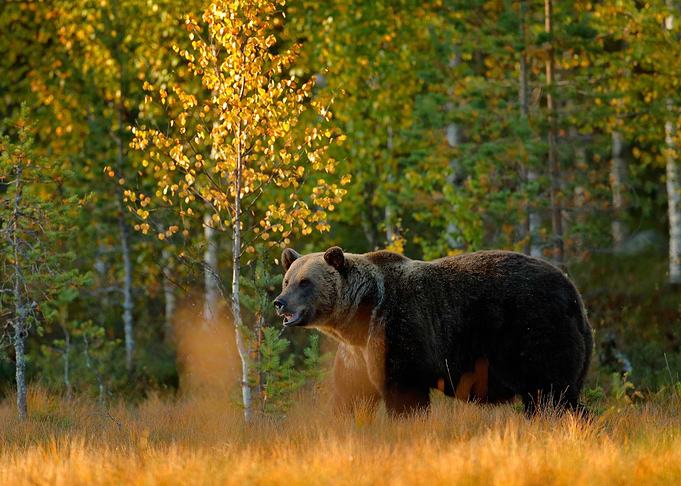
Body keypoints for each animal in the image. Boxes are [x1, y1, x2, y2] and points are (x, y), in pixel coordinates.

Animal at [273, 247, 593, 416]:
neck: (361, 317)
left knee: (550, 392)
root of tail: (574, 294)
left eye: (305, 282)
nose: (280, 302)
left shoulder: (398, 329)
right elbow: (352, 393)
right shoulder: (357, 353)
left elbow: (404, 390)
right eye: (287, 280)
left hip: (533, 330)